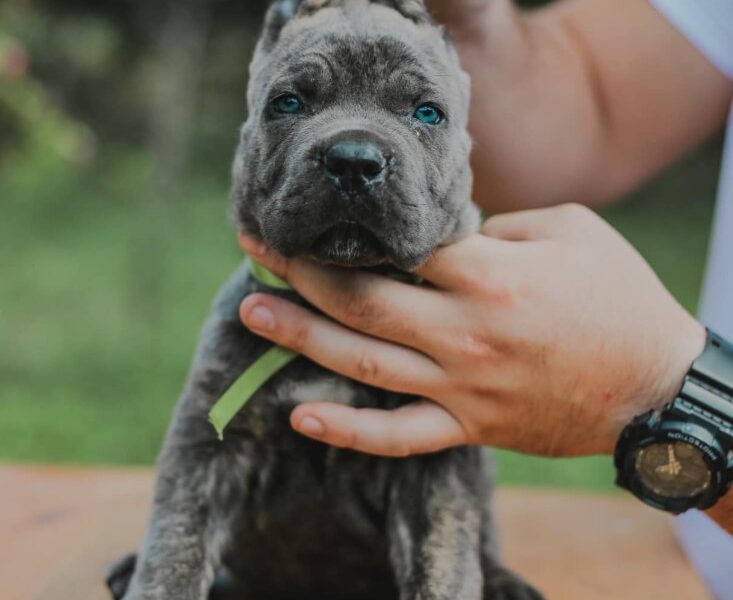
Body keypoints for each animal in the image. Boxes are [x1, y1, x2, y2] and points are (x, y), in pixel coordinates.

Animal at [107, 1, 544, 600]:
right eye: (289, 103)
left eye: (428, 113)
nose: (354, 160)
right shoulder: (208, 442)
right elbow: (176, 544)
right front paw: (155, 577)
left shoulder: (431, 461)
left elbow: (444, 559)